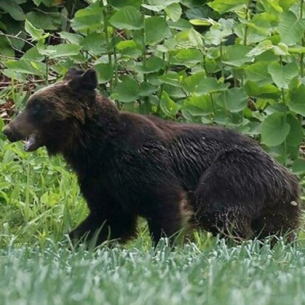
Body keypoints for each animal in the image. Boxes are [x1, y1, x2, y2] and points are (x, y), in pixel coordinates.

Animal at [2, 67, 300, 243]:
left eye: (36, 106)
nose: (8, 129)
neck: (96, 146)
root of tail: (286, 172)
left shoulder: (142, 162)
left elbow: (165, 204)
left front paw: (166, 249)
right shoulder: (100, 179)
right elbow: (107, 219)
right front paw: (73, 242)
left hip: (233, 172)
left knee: (220, 211)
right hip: (278, 205)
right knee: (277, 231)